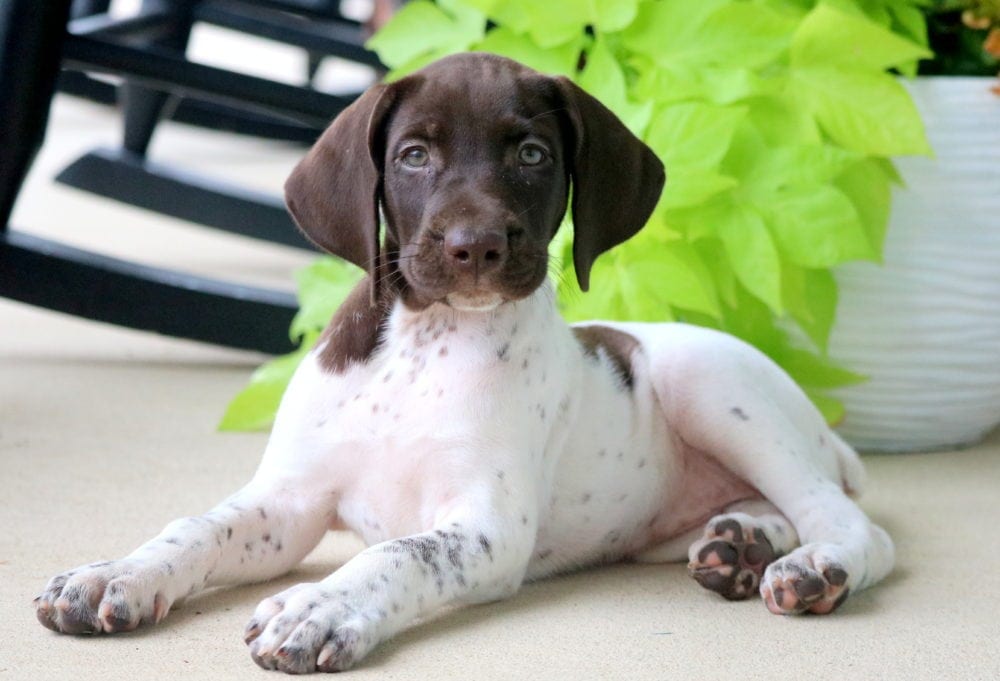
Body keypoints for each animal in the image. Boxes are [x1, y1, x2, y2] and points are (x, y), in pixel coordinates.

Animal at [35, 51, 896, 668]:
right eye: (414, 155)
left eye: (533, 153)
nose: (474, 245)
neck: (425, 344)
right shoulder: (288, 504)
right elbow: (195, 528)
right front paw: (114, 573)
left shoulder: (486, 524)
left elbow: (399, 553)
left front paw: (321, 606)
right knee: (780, 505)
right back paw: (739, 542)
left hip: (712, 388)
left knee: (849, 520)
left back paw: (817, 567)